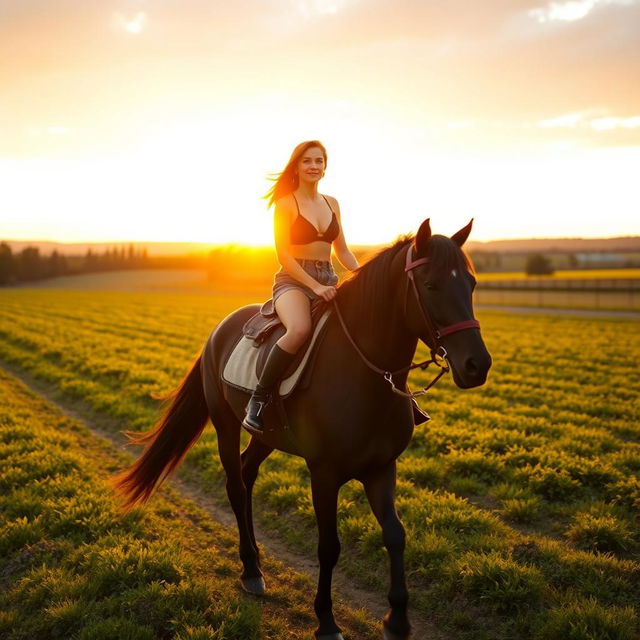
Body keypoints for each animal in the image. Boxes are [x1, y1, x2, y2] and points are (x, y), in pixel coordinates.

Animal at [116, 220, 490, 640]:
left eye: (472, 283)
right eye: (430, 285)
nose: (477, 365)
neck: (364, 374)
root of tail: (220, 329)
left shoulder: (382, 468)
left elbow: (395, 534)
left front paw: (397, 619)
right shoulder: (324, 473)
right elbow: (329, 546)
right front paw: (326, 620)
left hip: (266, 436)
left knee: (247, 471)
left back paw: (256, 559)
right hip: (226, 425)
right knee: (235, 484)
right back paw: (251, 570)